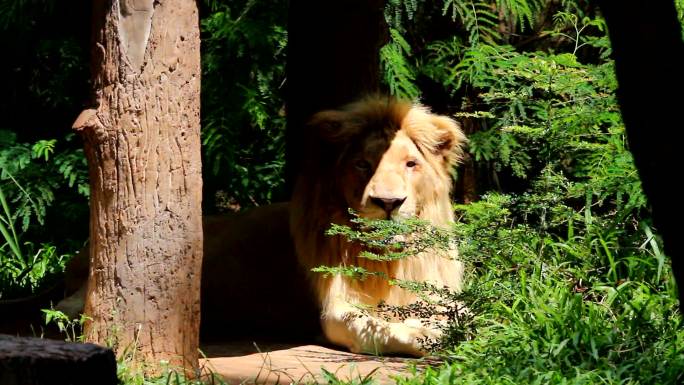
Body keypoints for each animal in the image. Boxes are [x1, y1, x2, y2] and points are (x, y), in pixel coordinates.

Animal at [292, 94, 468, 356]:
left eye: (410, 164)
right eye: (362, 164)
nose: (389, 202)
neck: (390, 260)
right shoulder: (334, 305)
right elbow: (370, 327)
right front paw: (423, 332)